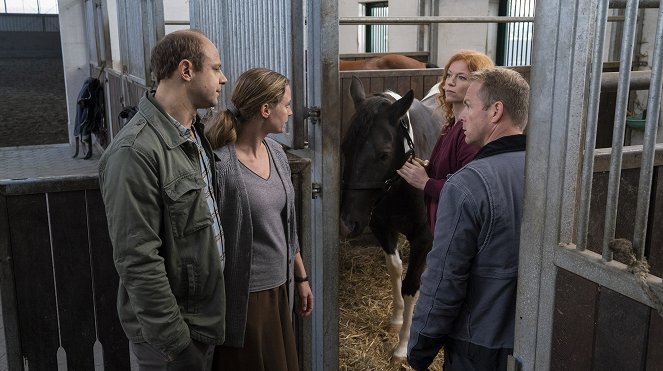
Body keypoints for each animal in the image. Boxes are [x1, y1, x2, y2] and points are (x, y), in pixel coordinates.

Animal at [342, 76, 440, 364]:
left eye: (383, 154)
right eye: (345, 147)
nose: (348, 222)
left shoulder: (422, 239)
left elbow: (410, 286)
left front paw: (403, 346)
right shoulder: (382, 228)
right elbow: (394, 269)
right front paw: (396, 319)